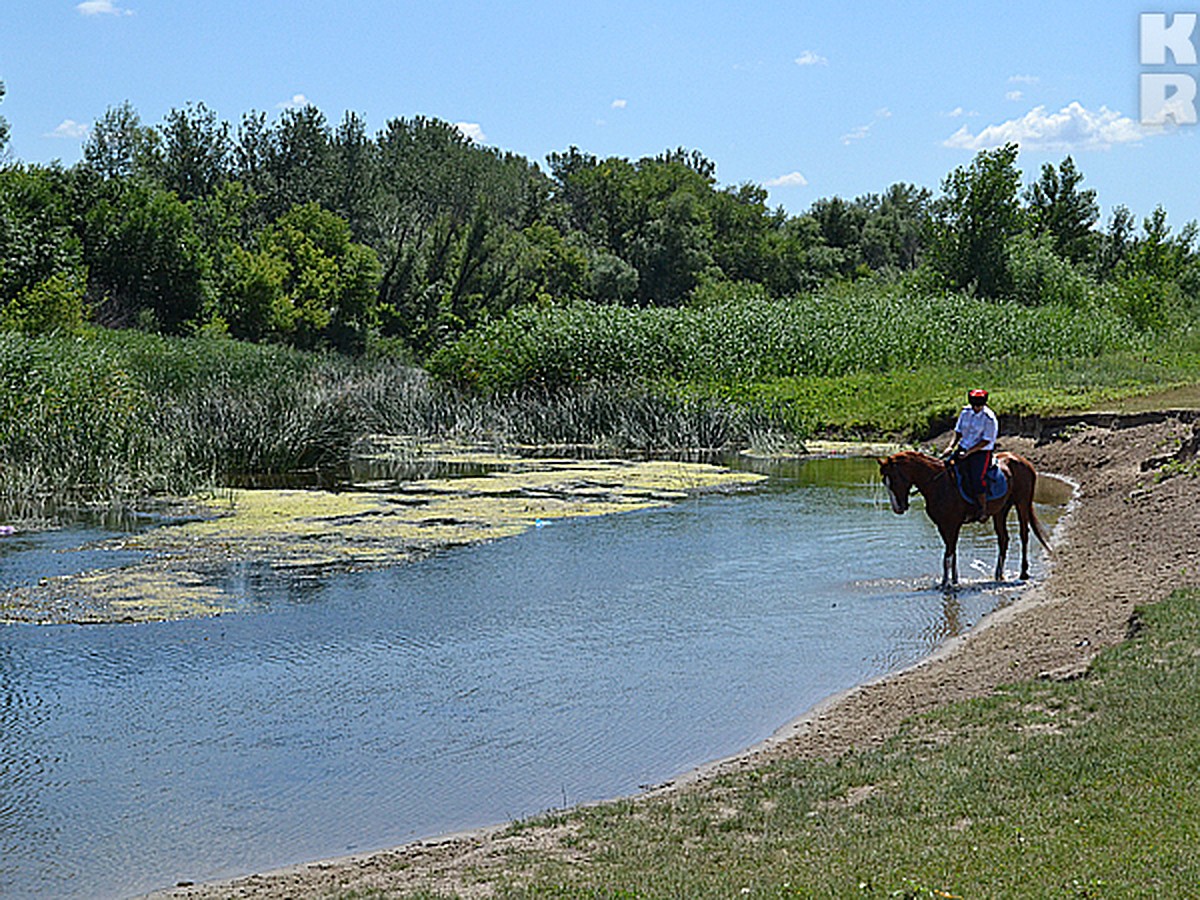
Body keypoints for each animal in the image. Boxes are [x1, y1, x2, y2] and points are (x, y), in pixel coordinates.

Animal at [873, 451, 1051, 592]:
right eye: (884, 481)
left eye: (894, 478)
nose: (898, 508)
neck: (939, 483)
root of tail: (1024, 462)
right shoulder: (943, 526)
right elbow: (951, 553)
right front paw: (954, 580)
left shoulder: (952, 525)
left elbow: (948, 556)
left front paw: (946, 583)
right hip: (1001, 510)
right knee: (1003, 539)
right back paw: (998, 575)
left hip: (1022, 503)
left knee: (1024, 535)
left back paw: (1023, 572)